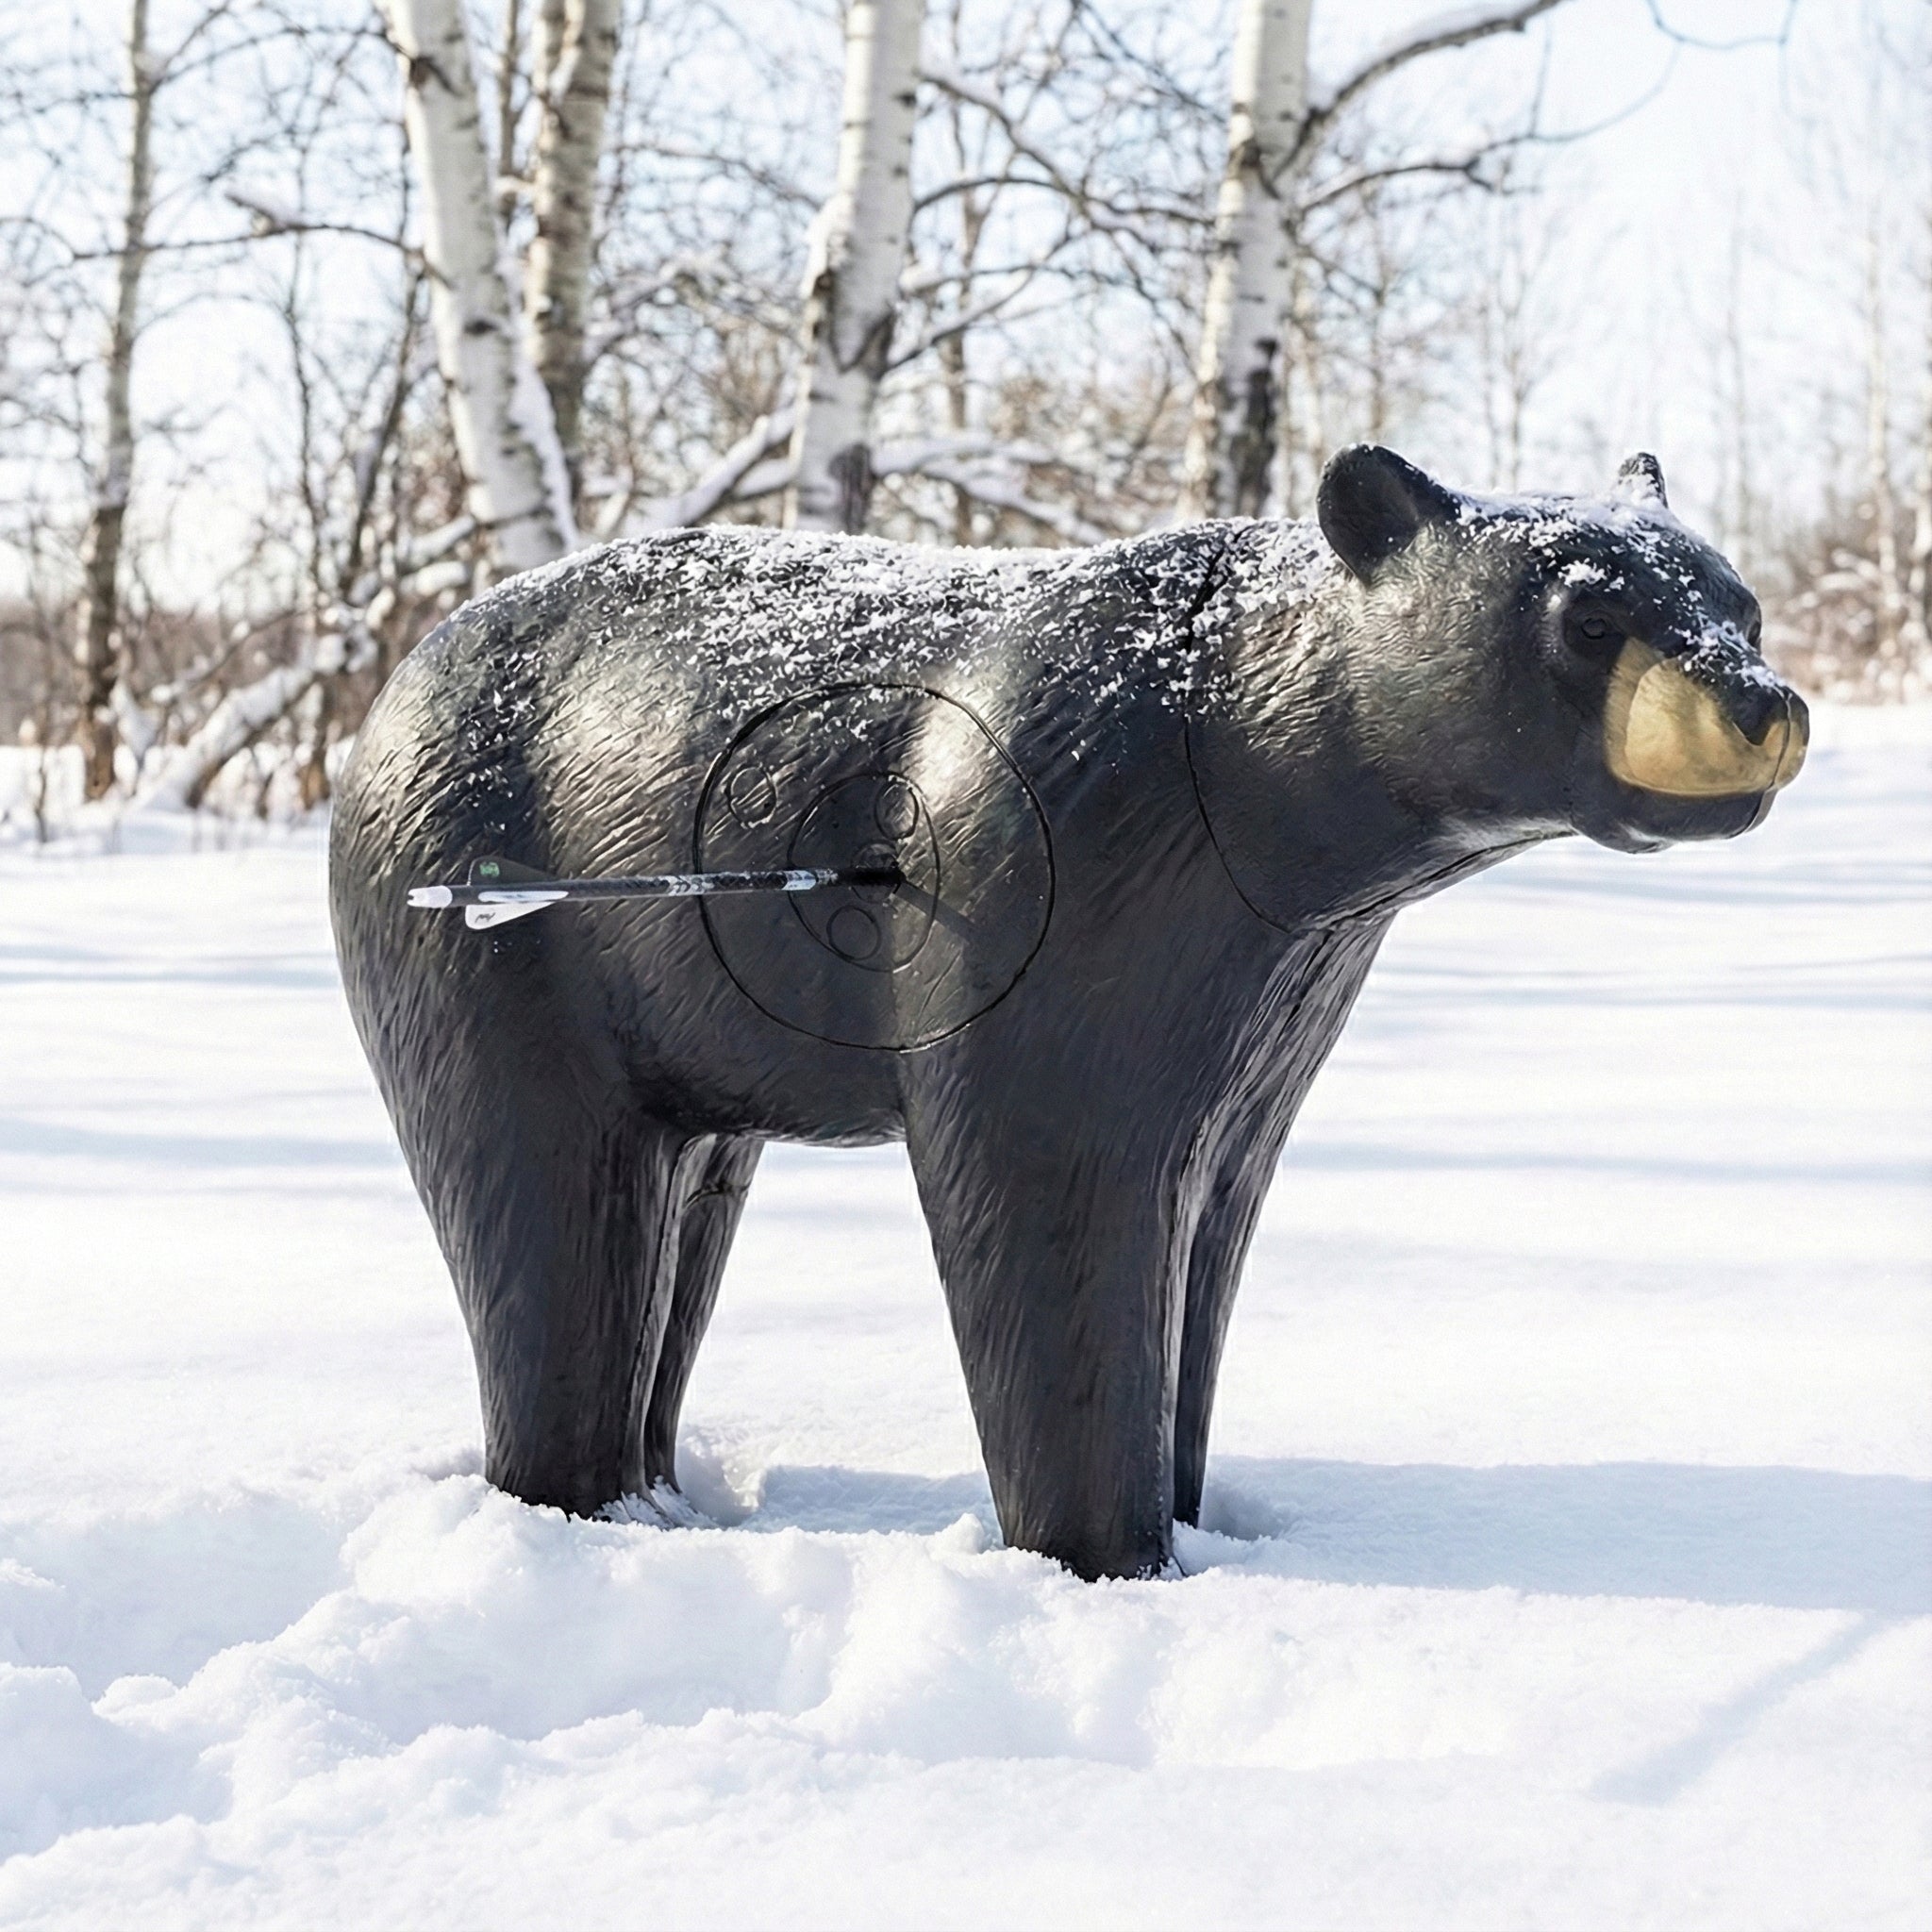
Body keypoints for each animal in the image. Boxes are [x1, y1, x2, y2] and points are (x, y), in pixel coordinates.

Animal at [329, 444, 1808, 1581]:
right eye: (1588, 619)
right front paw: (1107, 1556)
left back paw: (654, 1493)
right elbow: (1046, 1191)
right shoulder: (1051, 881)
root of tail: (387, 694)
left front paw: (1194, 1515)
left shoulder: (1271, 988)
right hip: (488, 935)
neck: (1251, 780)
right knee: (544, 1201)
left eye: (1738, 599)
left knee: (682, 1206)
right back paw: (579, 1507)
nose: (1765, 705)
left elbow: (1215, 1212)